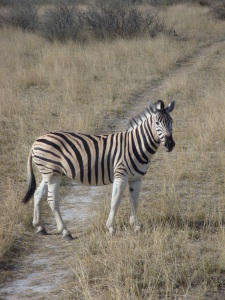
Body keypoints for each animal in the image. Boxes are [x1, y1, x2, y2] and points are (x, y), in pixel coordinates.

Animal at [22, 99, 176, 240]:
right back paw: (65, 232)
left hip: (49, 173)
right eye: (157, 123)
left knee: (38, 194)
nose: (170, 144)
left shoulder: (137, 178)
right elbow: (115, 200)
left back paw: (40, 227)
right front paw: (111, 228)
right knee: (52, 200)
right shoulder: (121, 175)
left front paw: (136, 226)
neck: (136, 146)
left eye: (172, 122)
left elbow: (134, 201)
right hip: (52, 173)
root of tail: (36, 140)